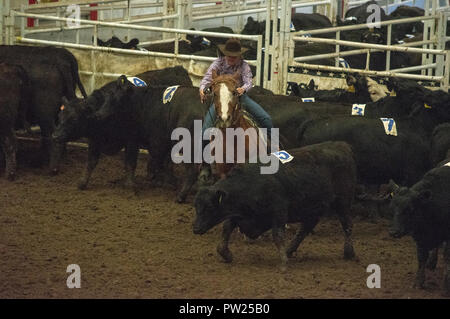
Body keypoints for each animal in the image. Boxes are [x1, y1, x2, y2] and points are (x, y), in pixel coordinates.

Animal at [192, 142, 356, 270]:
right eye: (196, 207)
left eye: (209, 207)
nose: (196, 228)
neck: (250, 183)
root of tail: (343, 146)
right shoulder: (237, 212)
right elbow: (227, 228)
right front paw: (225, 254)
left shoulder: (279, 211)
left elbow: (277, 235)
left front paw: (283, 263)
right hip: (313, 207)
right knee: (305, 228)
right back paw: (290, 250)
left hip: (342, 200)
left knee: (347, 224)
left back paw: (349, 253)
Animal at [388, 164, 448, 296]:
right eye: (392, 207)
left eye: (410, 209)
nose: (394, 232)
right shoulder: (419, 237)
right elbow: (421, 258)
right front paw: (418, 283)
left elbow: (447, 259)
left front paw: (446, 287)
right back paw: (431, 263)